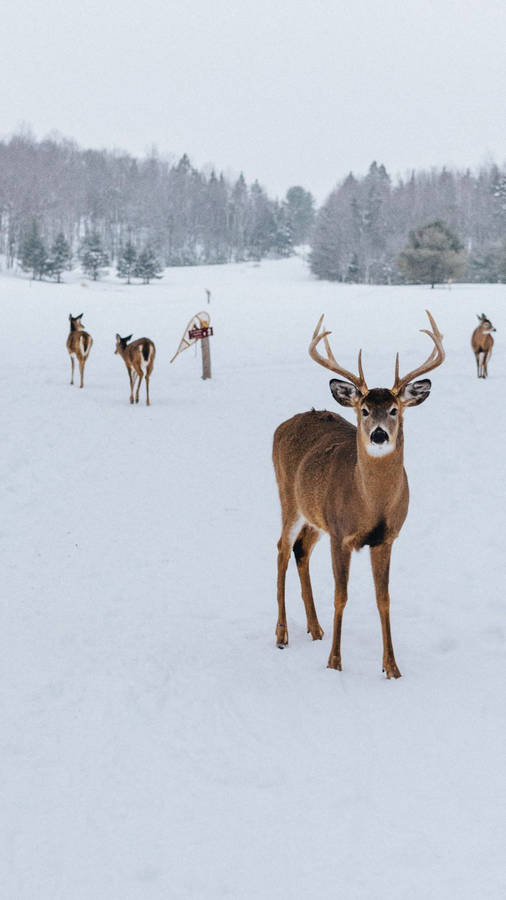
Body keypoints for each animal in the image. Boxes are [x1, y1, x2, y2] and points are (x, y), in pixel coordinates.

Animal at [272, 310, 445, 679]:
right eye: (364, 410)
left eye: (394, 410)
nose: (379, 435)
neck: (371, 505)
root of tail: (284, 424)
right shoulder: (341, 534)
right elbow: (341, 595)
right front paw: (335, 663)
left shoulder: (386, 538)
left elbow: (384, 599)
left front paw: (392, 667)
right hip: (289, 499)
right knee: (281, 548)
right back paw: (282, 634)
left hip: (315, 516)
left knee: (300, 549)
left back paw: (315, 628)